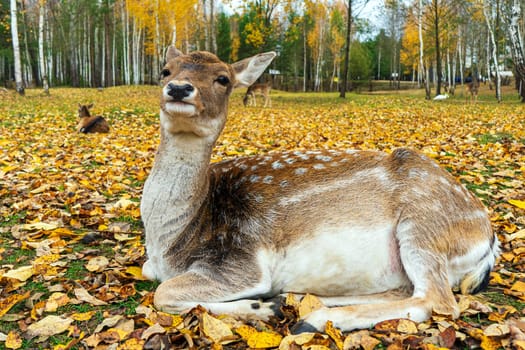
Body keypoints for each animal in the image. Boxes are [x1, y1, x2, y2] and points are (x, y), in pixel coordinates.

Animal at [140, 46, 500, 334]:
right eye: (165, 70)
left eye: (223, 79)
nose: (178, 88)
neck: (171, 241)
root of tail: (489, 240)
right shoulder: (155, 264)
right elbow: (151, 276)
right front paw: (267, 304)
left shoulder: (241, 262)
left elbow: (164, 292)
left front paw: (261, 307)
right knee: (405, 290)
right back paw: (299, 297)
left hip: (424, 226)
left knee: (436, 300)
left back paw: (312, 319)